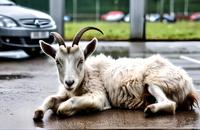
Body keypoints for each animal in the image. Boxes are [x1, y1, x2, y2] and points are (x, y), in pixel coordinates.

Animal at [32, 26, 198, 122]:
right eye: (57, 61)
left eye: (81, 60)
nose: (69, 82)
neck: (87, 74)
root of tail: (189, 85)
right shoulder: (66, 93)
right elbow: (51, 99)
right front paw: (38, 112)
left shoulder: (98, 95)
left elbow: (65, 106)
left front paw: (69, 110)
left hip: (155, 81)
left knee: (170, 104)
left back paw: (150, 109)